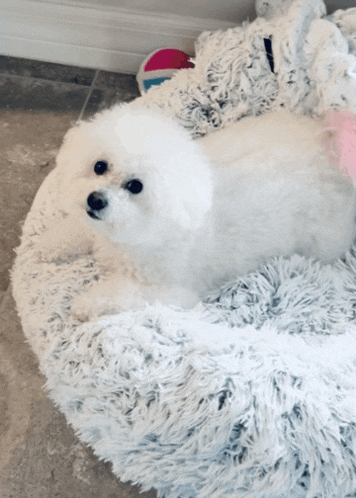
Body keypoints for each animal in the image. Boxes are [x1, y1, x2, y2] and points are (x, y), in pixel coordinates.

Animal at [39, 106, 356, 320]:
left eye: (135, 186)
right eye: (99, 166)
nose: (95, 200)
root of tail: (328, 149)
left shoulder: (172, 291)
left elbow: (124, 292)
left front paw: (85, 303)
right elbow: (76, 230)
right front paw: (51, 244)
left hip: (323, 242)